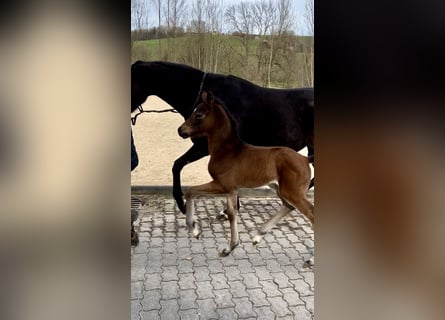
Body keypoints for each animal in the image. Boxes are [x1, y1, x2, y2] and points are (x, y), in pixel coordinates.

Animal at [177, 92, 312, 258]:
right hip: (279, 188)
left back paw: (310, 259)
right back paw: (258, 236)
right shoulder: (232, 190)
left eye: (199, 114)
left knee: (310, 213)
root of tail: (305, 159)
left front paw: (194, 229)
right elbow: (231, 213)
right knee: (288, 206)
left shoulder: (222, 184)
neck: (226, 150)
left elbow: (190, 191)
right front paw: (230, 247)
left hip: (292, 192)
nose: (181, 130)